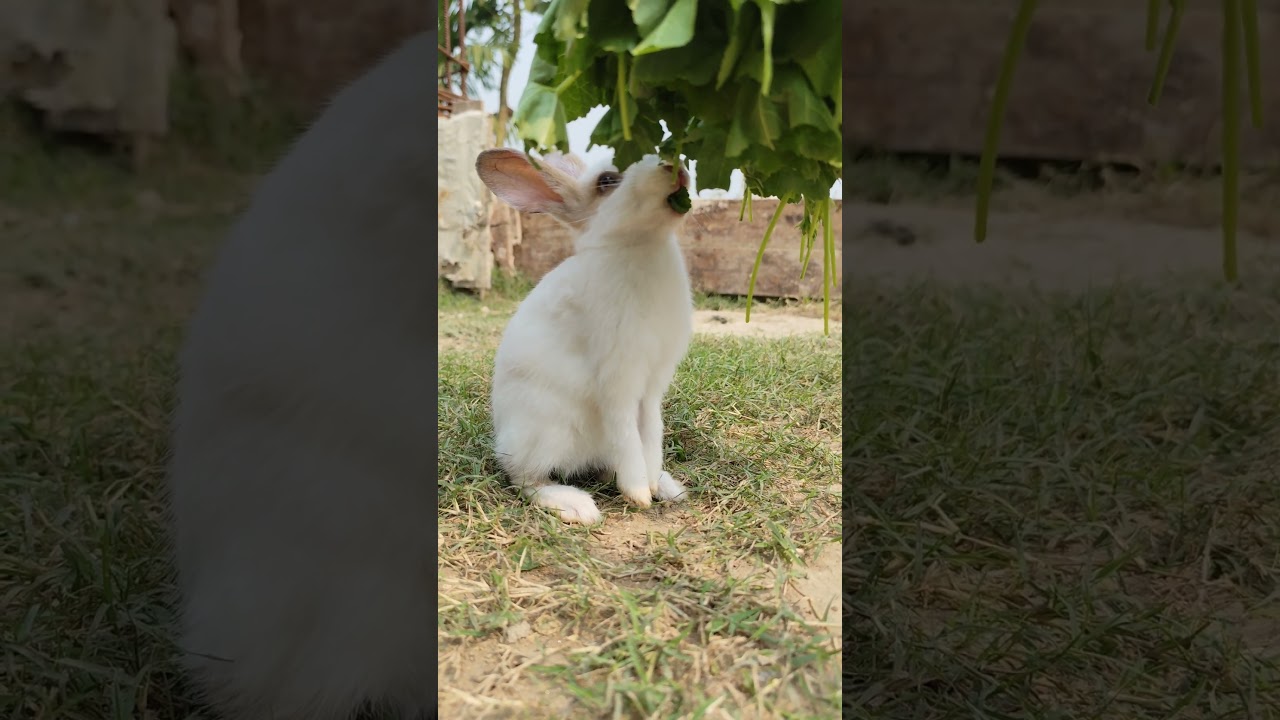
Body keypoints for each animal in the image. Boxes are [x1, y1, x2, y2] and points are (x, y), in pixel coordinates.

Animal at [475, 148, 695, 524]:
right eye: (606, 180)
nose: (676, 168)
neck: (642, 245)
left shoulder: (653, 385)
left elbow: (652, 431)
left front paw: (652, 481)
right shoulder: (617, 376)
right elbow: (626, 430)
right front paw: (639, 493)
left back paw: (667, 486)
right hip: (545, 432)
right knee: (524, 479)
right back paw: (577, 506)